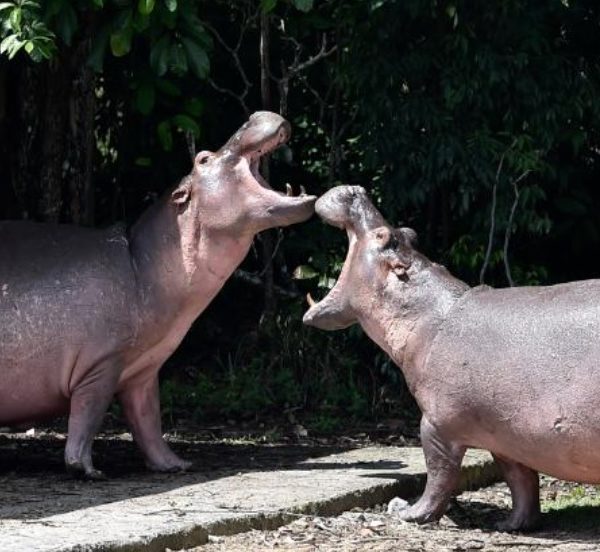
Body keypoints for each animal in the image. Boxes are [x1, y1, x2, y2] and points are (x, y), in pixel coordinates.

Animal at [0, 111, 316, 478]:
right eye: (202, 158)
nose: (254, 115)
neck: (143, 261)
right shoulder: (101, 365)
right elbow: (87, 417)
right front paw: (88, 470)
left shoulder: (143, 369)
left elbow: (148, 421)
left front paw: (176, 465)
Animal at [302, 184, 600, 532]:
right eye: (408, 233)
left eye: (382, 236)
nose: (355, 190)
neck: (426, 315)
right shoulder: (505, 434)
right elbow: (520, 480)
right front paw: (509, 524)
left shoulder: (436, 424)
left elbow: (438, 476)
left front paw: (405, 510)